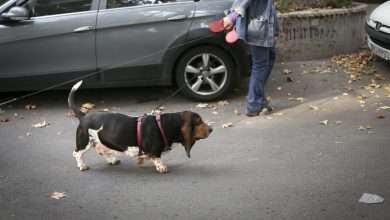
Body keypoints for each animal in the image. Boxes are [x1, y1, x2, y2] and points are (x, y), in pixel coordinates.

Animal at [68, 81, 213, 174]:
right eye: (199, 121)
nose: (211, 129)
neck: (165, 125)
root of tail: (84, 115)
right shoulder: (155, 152)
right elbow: (157, 158)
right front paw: (161, 167)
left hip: (99, 141)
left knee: (101, 150)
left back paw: (112, 160)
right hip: (84, 142)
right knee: (76, 153)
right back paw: (82, 166)